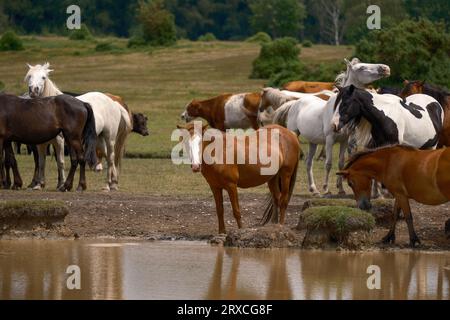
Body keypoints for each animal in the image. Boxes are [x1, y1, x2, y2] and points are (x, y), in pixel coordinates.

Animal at [25, 63, 133, 191]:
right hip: (99, 139)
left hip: (109, 138)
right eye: (29, 76)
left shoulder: (60, 141)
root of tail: (113, 102)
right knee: (107, 157)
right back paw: (113, 183)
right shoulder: (41, 144)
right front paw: (39, 184)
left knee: (111, 158)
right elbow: (41, 162)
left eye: (43, 77)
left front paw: (62, 184)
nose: (33, 90)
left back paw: (107, 184)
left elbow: (60, 162)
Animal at [270, 57, 390, 195]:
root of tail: (294, 103)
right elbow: (328, 163)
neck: (337, 110)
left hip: (313, 142)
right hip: (295, 133)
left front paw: (341, 189)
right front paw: (326, 189)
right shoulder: (329, 140)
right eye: (361, 67)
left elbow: (341, 164)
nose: (386, 68)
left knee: (309, 163)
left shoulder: (344, 141)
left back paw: (314, 189)